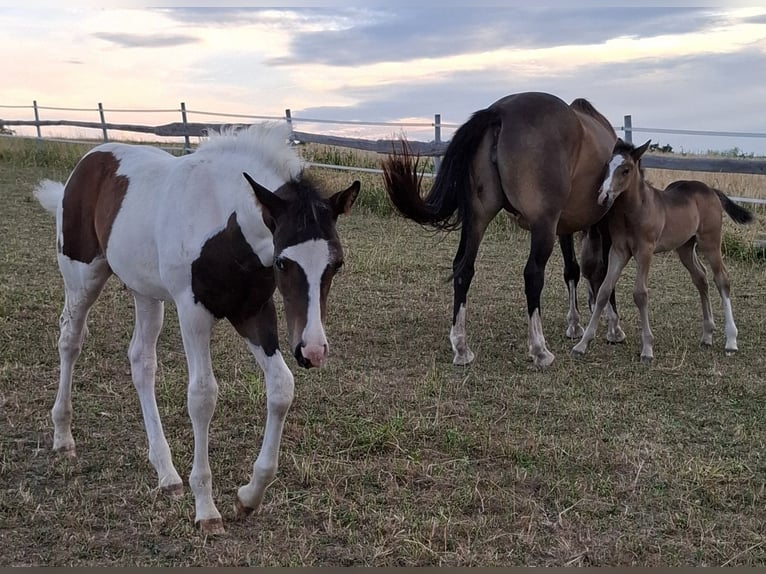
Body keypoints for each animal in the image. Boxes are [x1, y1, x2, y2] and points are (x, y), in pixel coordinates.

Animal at [33, 123, 360, 534]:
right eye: (284, 263)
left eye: (337, 263)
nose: (313, 350)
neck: (224, 224)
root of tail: (90, 159)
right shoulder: (193, 314)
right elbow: (203, 396)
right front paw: (206, 508)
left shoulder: (254, 312)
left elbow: (282, 387)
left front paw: (249, 496)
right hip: (82, 277)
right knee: (70, 340)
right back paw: (63, 437)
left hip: (145, 291)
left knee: (142, 362)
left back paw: (166, 473)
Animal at [382, 91, 619, 367]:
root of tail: (499, 112)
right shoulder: (601, 224)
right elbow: (605, 272)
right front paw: (613, 327)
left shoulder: (566, 227)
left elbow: (573, 269)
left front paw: (575, 324)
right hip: (543, 225)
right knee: (533, 275)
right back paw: (540, 350)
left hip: (479, 216)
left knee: (463, 268)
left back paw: (461, 348)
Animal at [572, 139, 753, 362]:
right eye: (607, 166)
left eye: (626, 169)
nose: (603, 197)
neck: (634, 211)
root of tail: (711, 190)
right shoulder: (619, 251)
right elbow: (604, 290)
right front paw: (582, 344)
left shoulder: (645, 251)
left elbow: (640, 294)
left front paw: (647, 349)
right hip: (685, 247)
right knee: (700, 277)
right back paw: (707, 335)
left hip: (710, 242)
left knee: (722, 279)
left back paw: (731, 341)